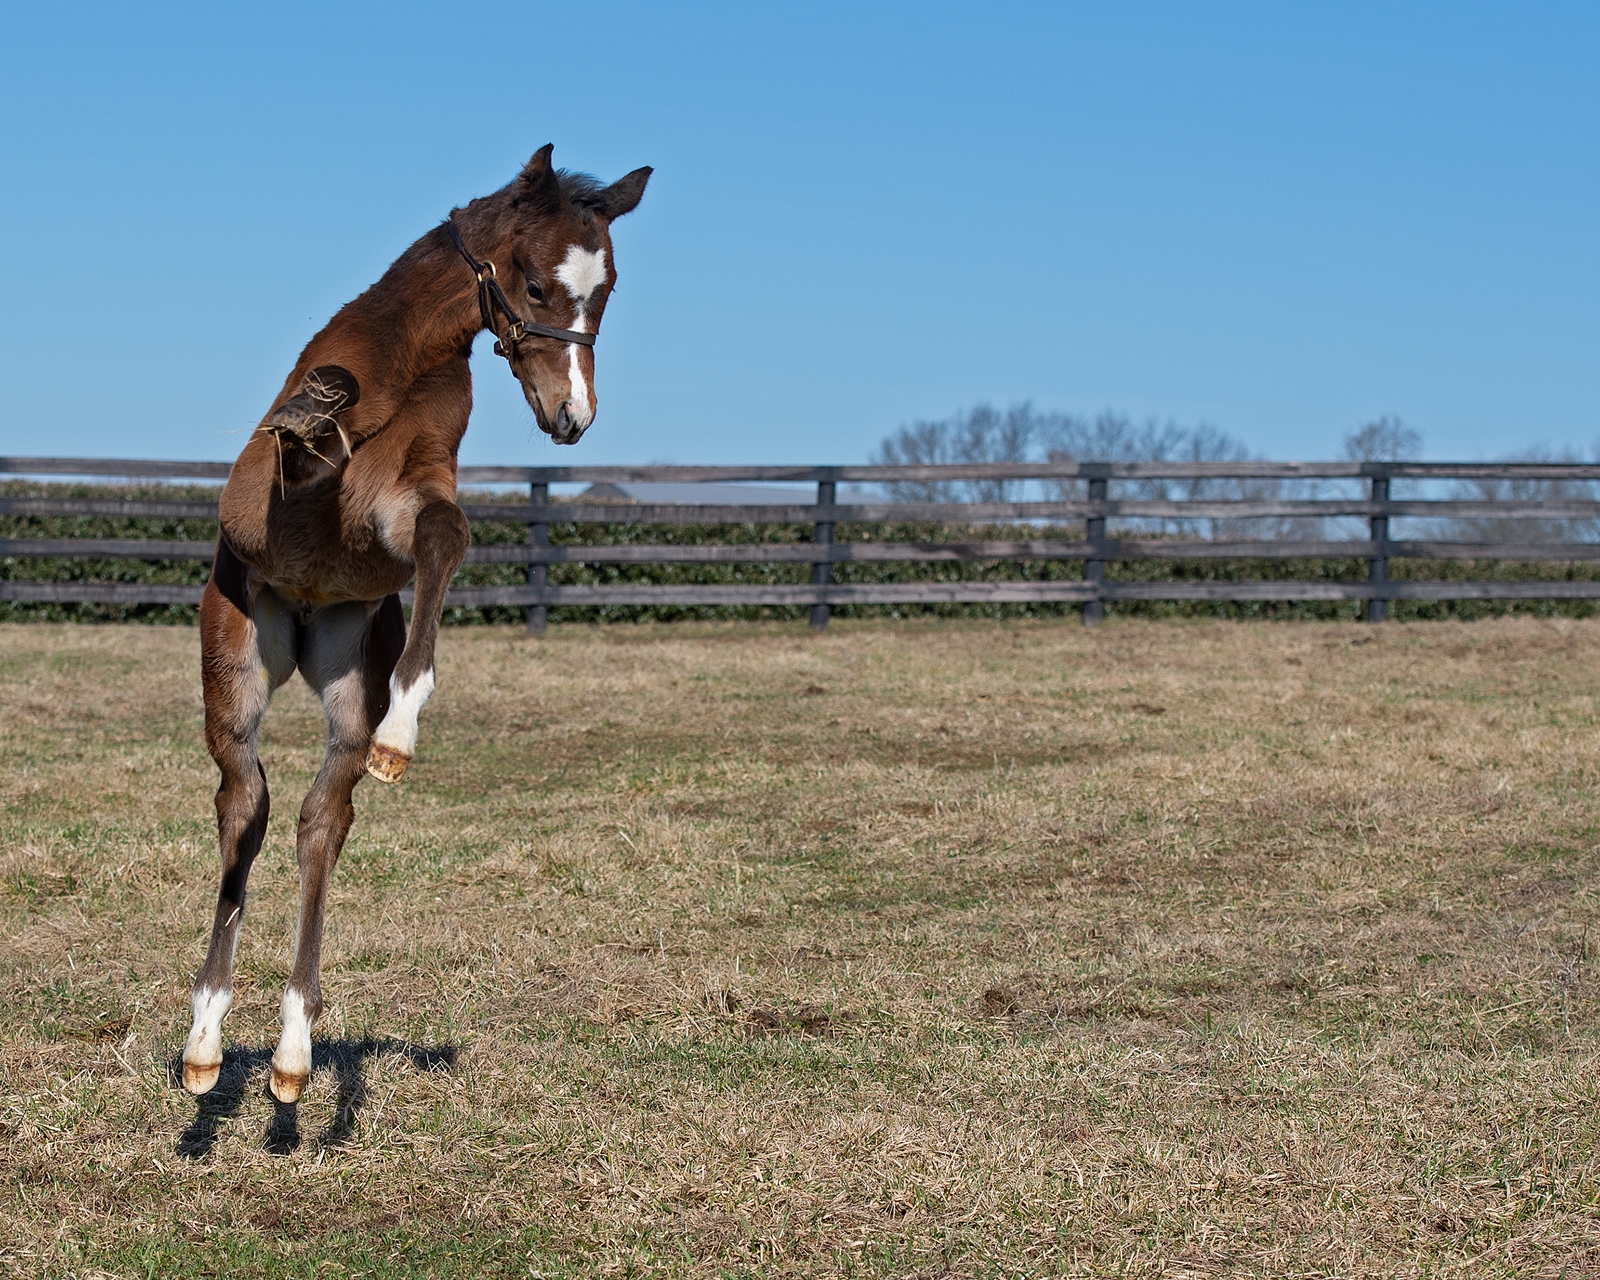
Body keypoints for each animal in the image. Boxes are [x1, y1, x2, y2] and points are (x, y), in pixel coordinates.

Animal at [178, 140, 646, 1100]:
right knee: (245, 805)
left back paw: (292, 1048)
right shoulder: (278, 506)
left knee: (320, 822)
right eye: (536, 285)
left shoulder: (404, 510)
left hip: (342, 672)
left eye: (608, 289)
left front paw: (404, 730)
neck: (406, 359)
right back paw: (205, 1037)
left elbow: (445, 536)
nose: (573, 418)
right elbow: (308, 446)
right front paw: (315, 409)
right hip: (235, 660)